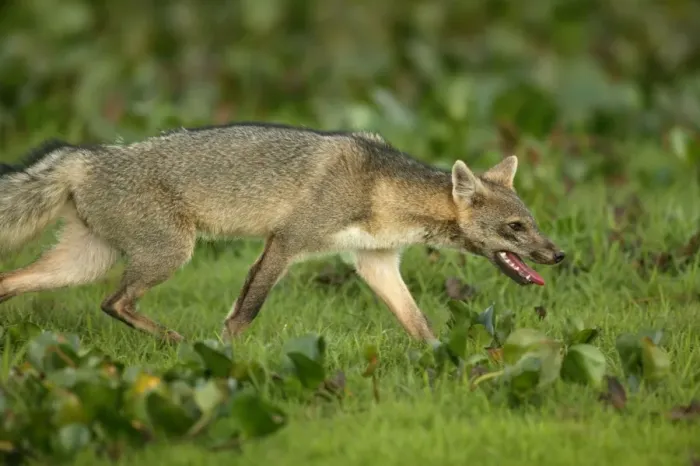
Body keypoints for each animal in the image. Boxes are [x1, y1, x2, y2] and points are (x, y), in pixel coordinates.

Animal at [0, 122, 565, 345]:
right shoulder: (287, 243)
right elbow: (244, 313)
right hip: (170, 254)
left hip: (80, 265)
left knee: (12, 282)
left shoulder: (376, 262)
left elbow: (419, 324)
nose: (559, 256)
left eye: (534, 224)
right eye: (516, 228)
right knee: (114, 302)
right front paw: (219, 361)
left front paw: (446, 362)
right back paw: (177, 342)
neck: (381, 189)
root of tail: (86, 155)